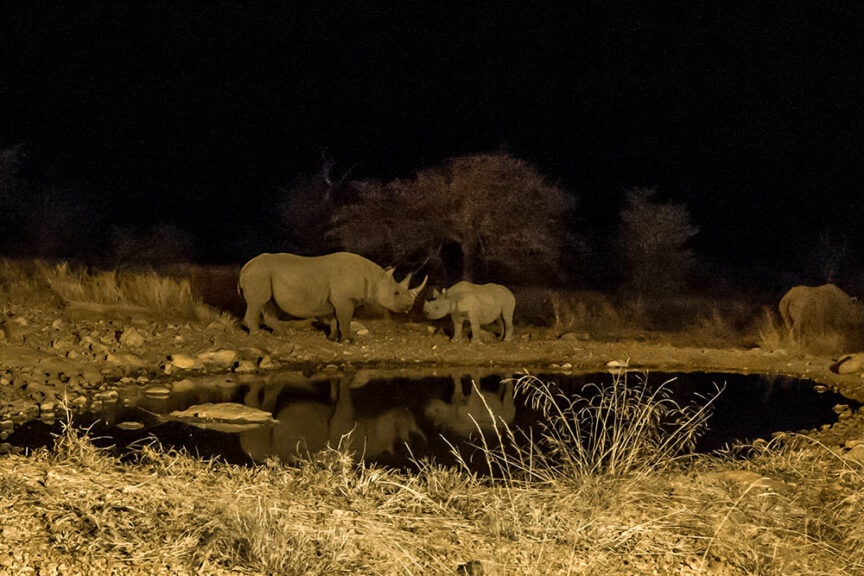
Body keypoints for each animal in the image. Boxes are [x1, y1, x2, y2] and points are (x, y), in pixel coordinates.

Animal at [238, 252, 427, 341]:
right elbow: (345, 319)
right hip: (259, 274)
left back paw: (285, 334)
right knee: (258, 302)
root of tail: (245, 267)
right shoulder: (345, 300)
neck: (375, 278)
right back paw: (258, 335)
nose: (408, 308)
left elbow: (336, 319)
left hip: (264, 274)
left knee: (267, 302)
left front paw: (333, 338)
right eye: (396, 293)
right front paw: (349, 340)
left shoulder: (338, 301)